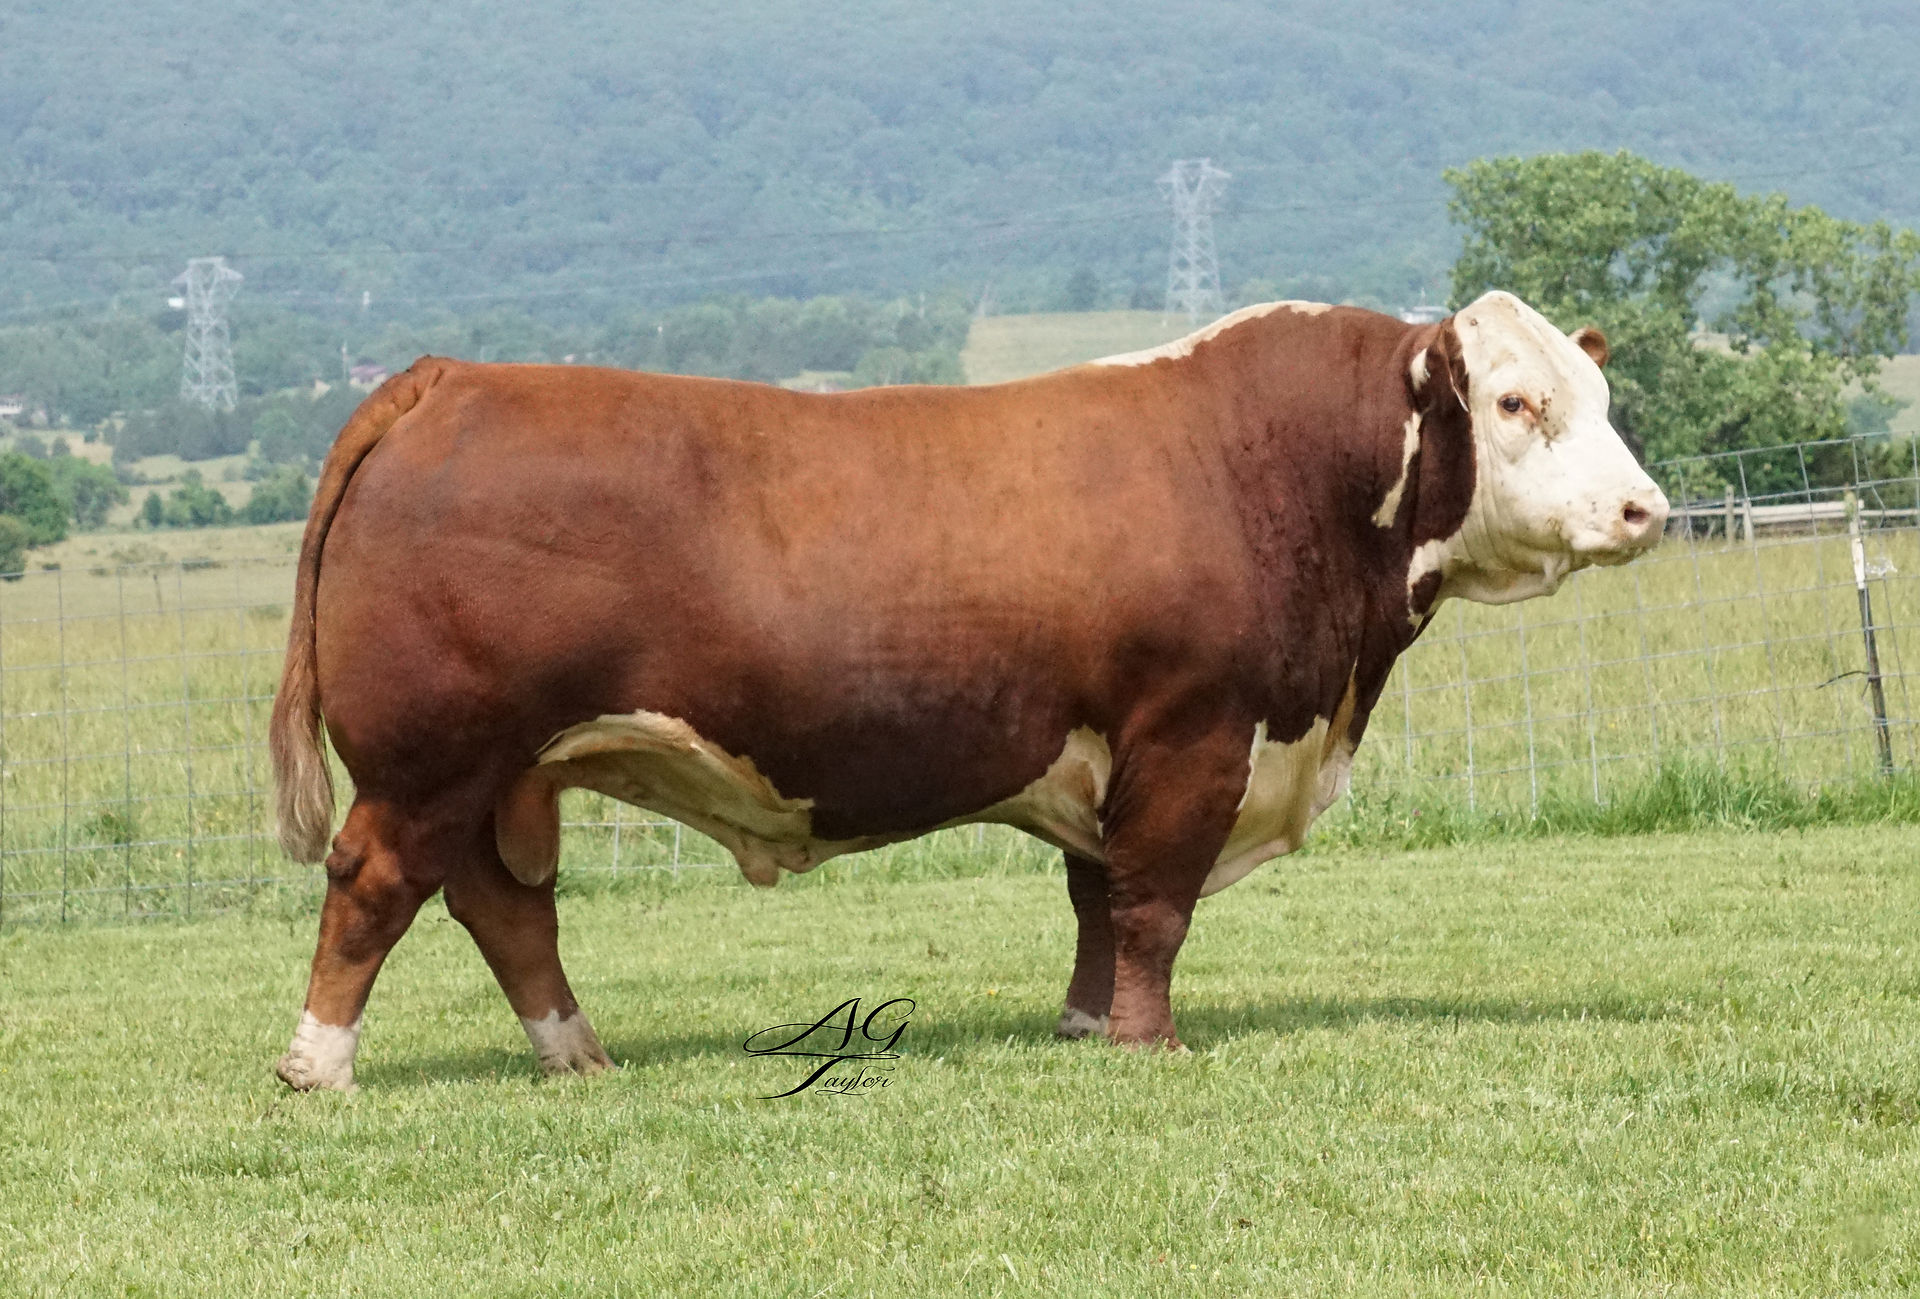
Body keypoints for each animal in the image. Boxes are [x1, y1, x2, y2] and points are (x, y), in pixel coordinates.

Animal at [269, 290, 1667, 1091]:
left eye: (1603, 396)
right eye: (1516, 400)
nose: (1645, 509)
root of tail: (452, 376)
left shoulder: (1116, 759)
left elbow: (1098, 901)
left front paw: (1084, 1030)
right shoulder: (1195, 736)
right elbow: (1153, 904)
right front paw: (1150, 1049)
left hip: (506, 774)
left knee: (506, 910)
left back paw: (578, 1058)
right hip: (430, 761)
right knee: (374, 888)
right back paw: (316, 1069)